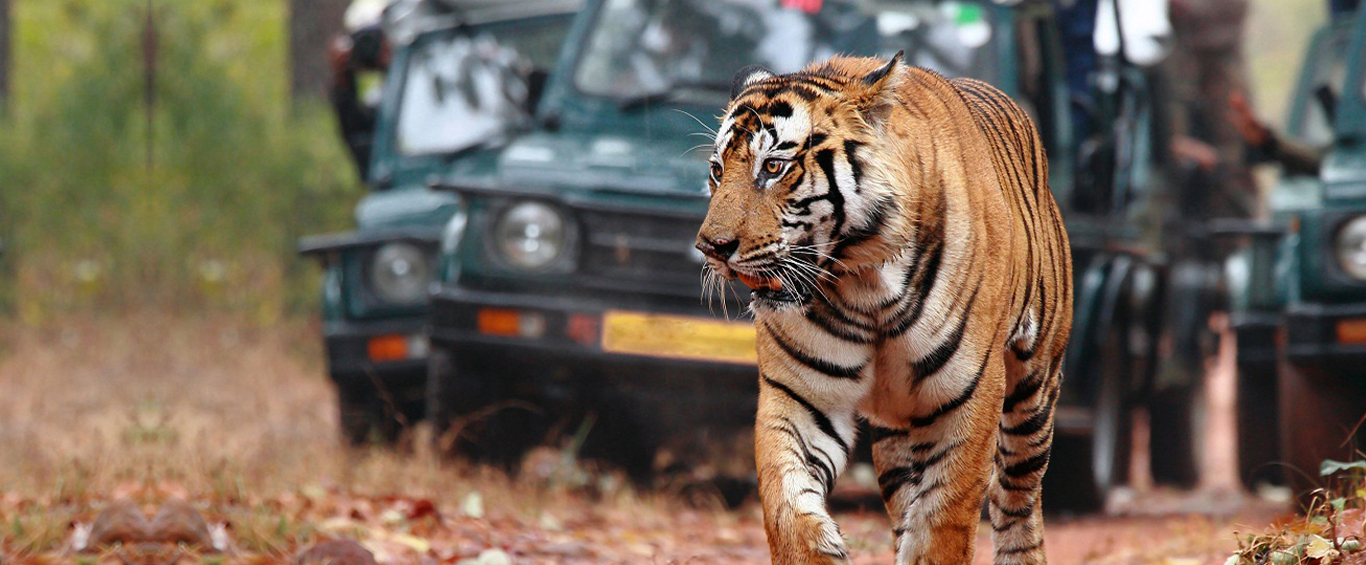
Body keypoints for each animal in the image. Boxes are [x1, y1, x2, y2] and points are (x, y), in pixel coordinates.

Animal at [699, 50, 1070, 562]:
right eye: (718, 170)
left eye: (773, 167)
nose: (710, 247)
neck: (864, 284)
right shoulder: (799, 394)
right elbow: (786, 505)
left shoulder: (969, 397)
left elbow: (944, 522)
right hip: (898, 435)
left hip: (1033, 394)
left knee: (1015, 498)